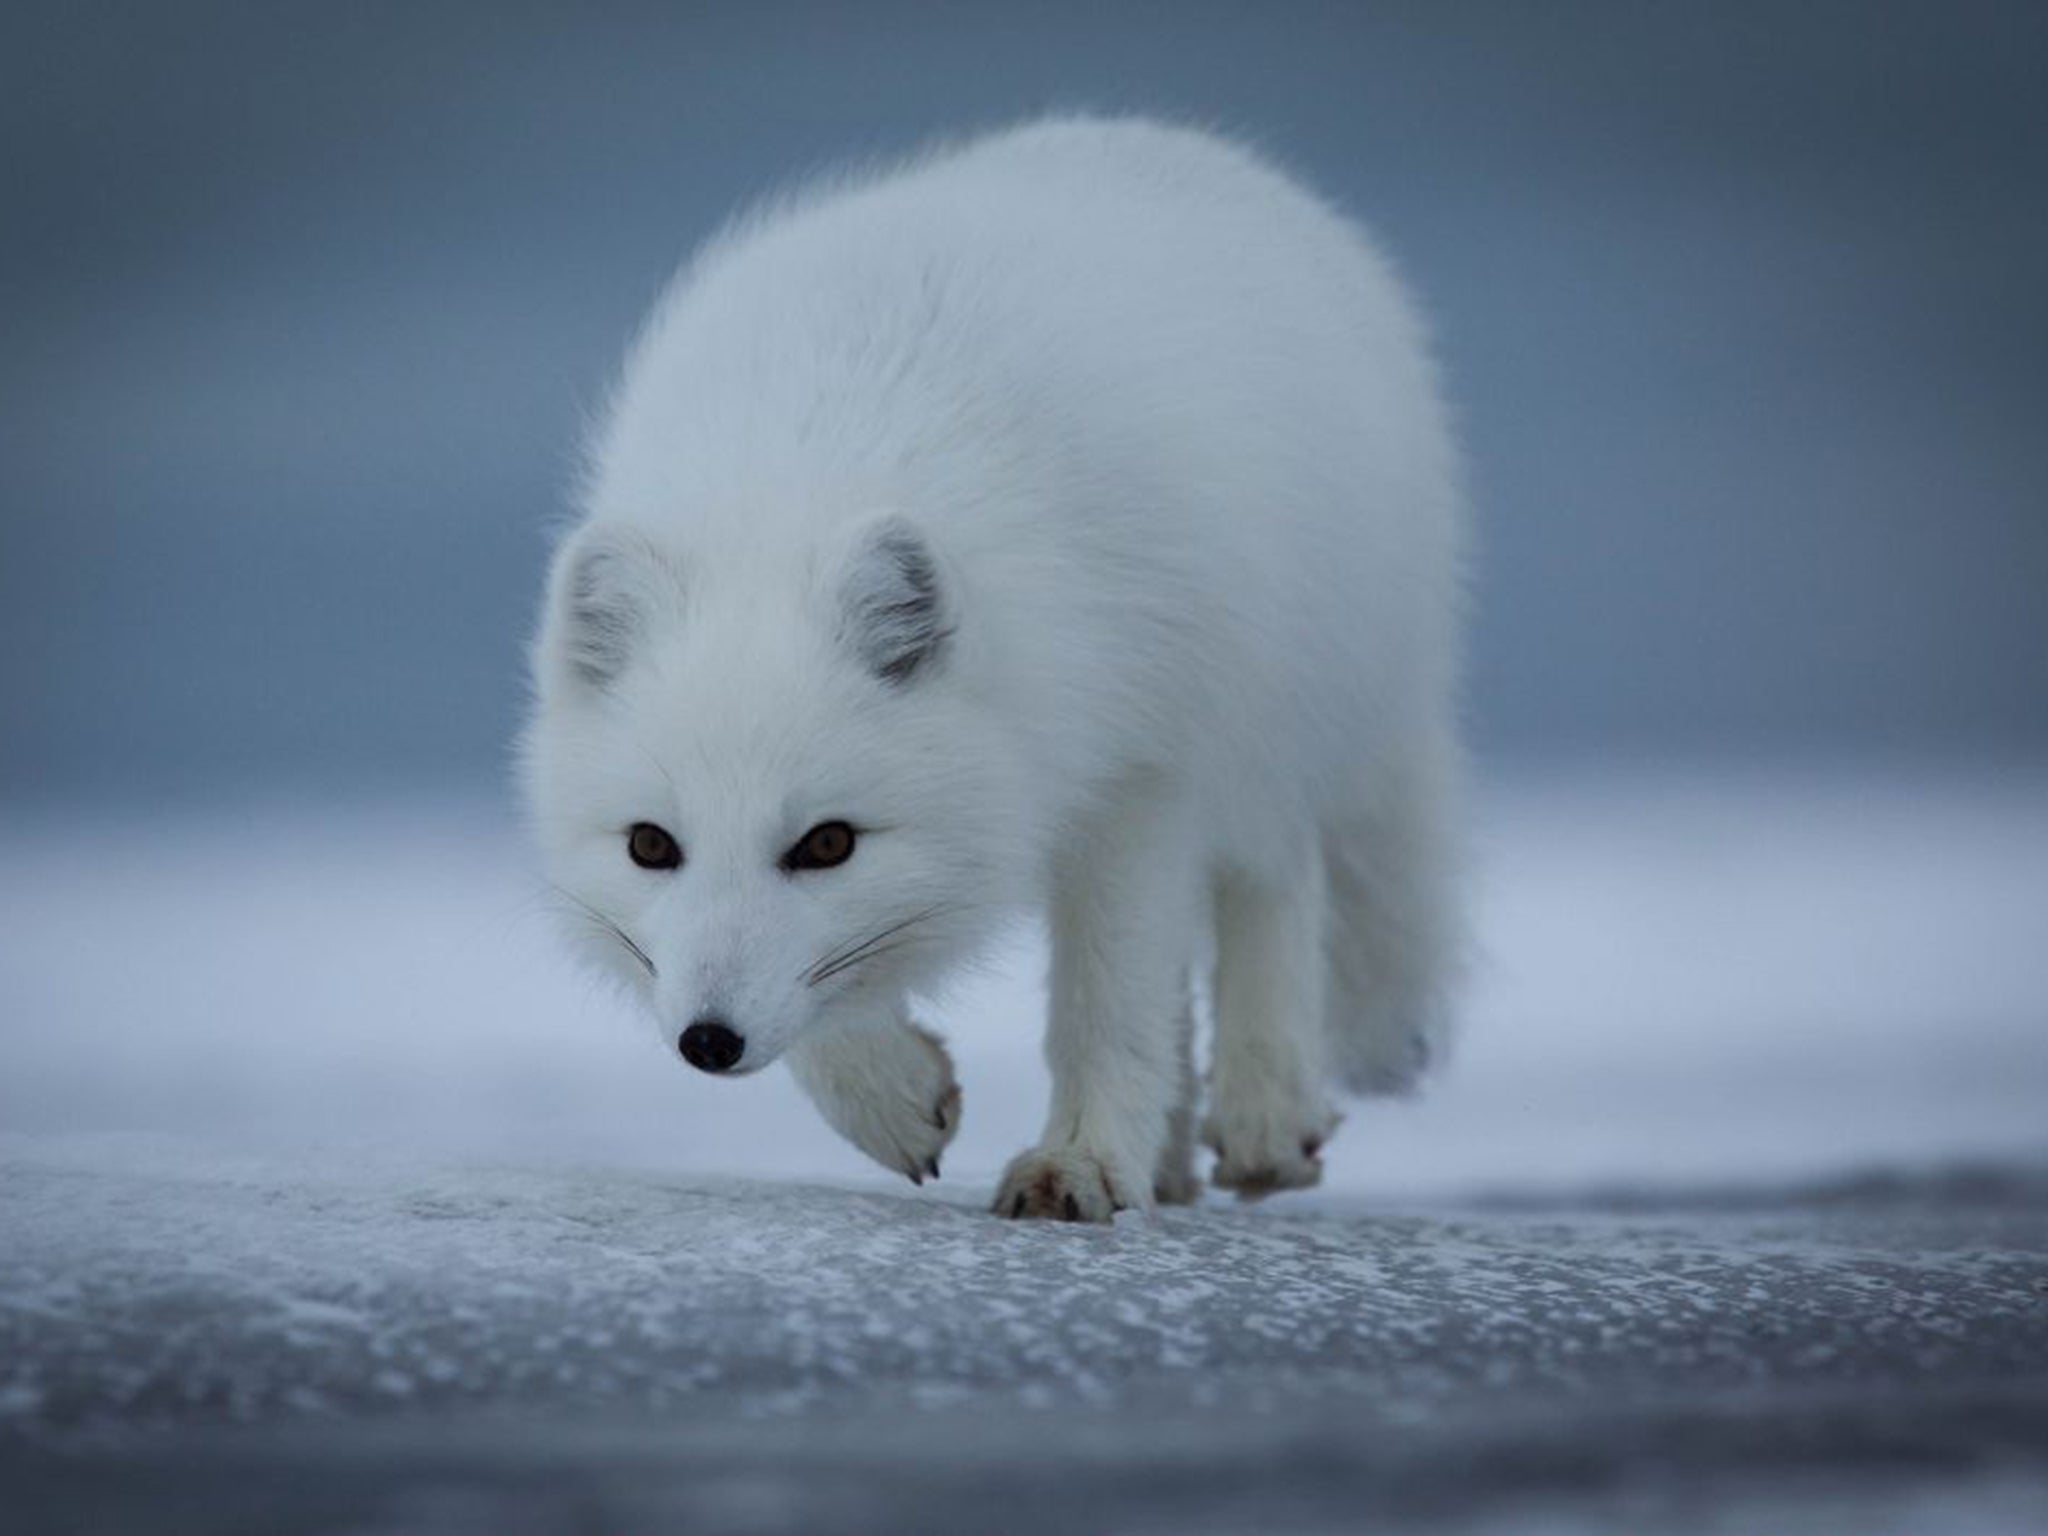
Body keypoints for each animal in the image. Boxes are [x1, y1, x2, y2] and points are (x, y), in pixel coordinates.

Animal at [520, 117, 1466, 1228]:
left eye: (827, 843)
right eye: (651, 846)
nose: (707, 1042)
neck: (807, 477)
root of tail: (1175, 144)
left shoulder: (1140, 775)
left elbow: (1109, 1002)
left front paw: (1082, 1163)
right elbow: (837, 999)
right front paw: (892, 1099)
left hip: (1274, 704)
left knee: (1274, 877)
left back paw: (1263, 1115)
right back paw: (1172, 1160)